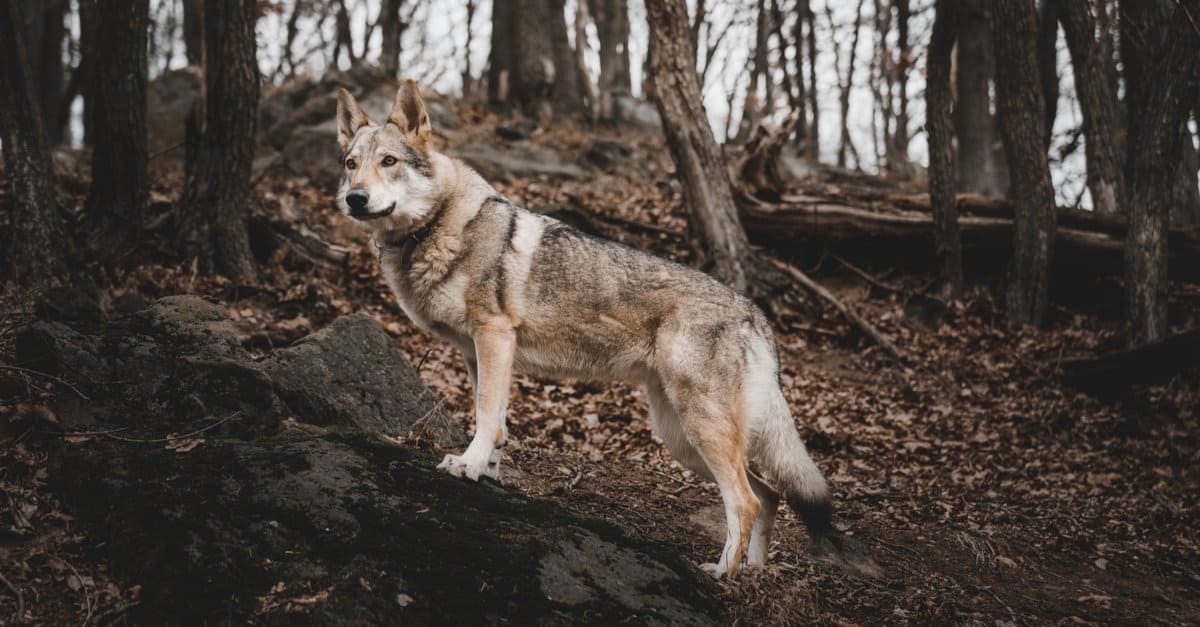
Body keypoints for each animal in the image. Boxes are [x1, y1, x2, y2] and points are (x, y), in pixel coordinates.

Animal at [334, 81, 837, 578]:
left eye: (389, 162)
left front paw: (469, 465)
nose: (353, 199)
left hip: (699, 432)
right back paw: (753, 573)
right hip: (682, 439)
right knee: (770, 495)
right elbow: (496, 421)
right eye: (351, 164)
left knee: (747, 501)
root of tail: (756, 314)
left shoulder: (494, 336)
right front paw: (490, 472)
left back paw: (721, 575)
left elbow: (484, 413)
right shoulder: (477, 352)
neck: (436, 227)